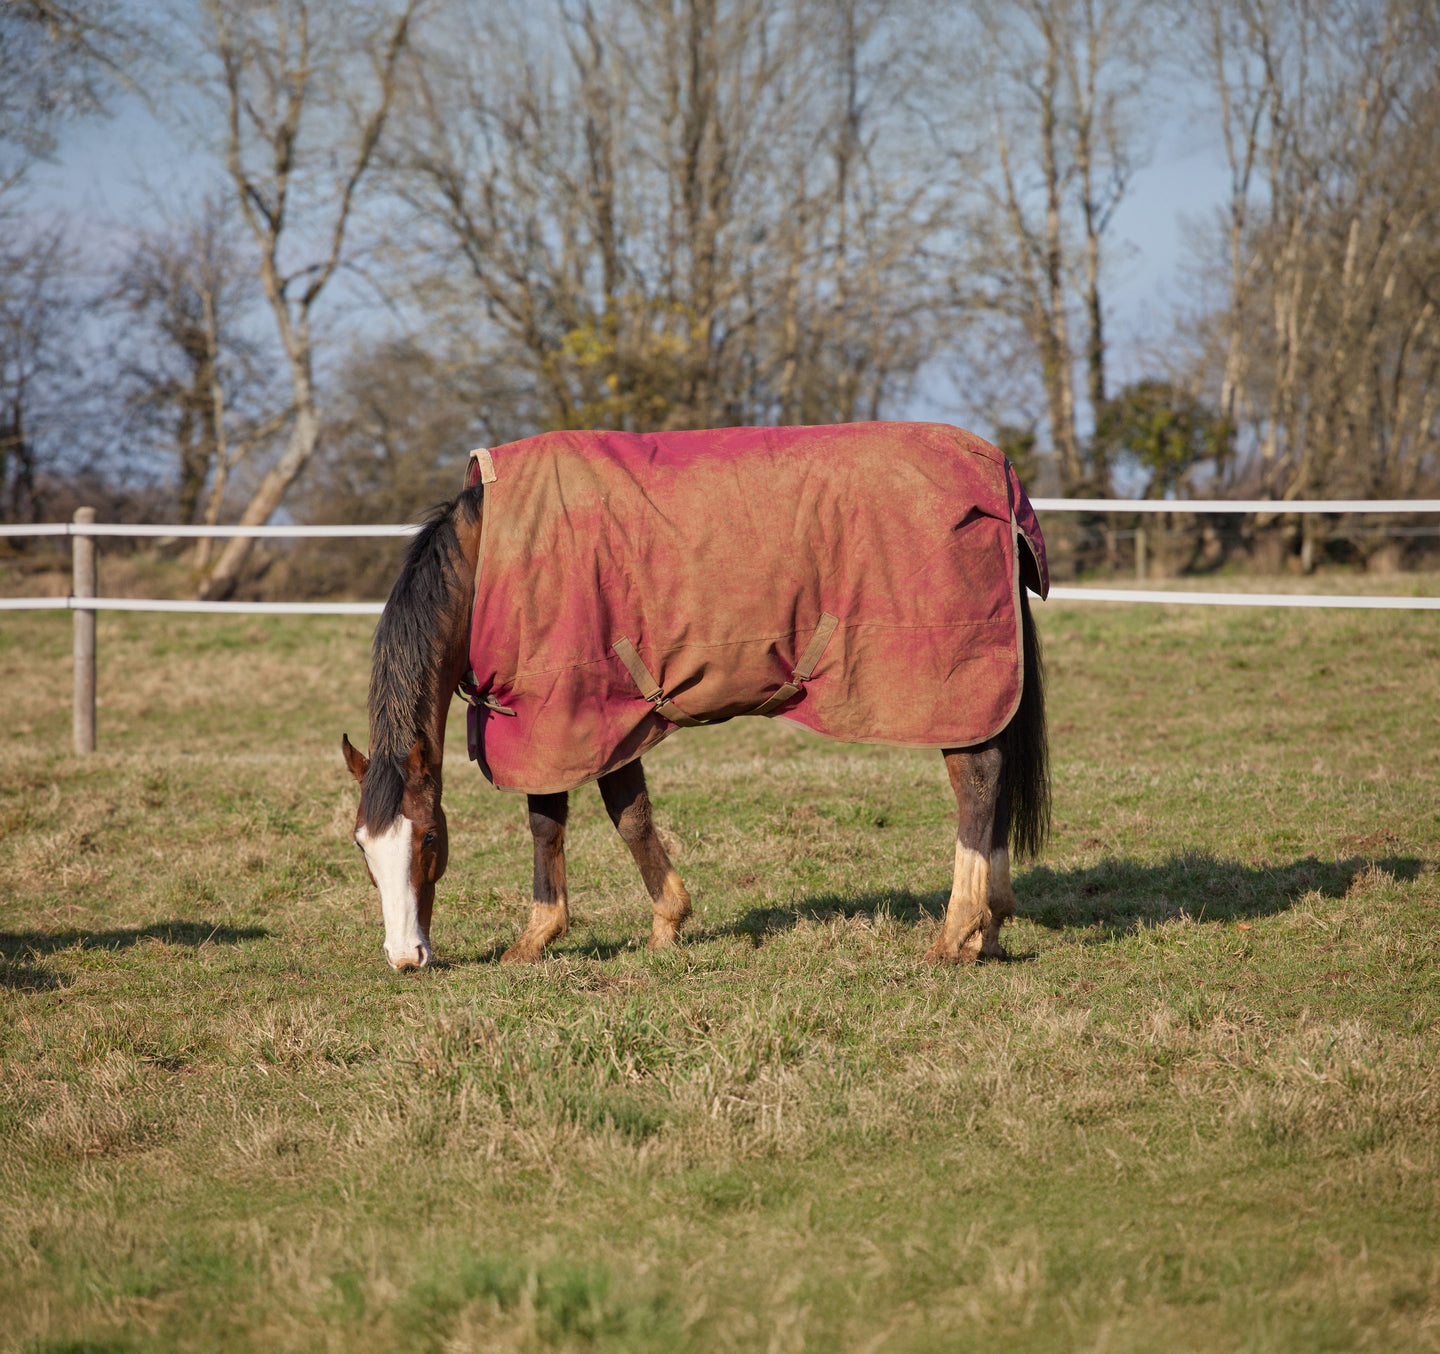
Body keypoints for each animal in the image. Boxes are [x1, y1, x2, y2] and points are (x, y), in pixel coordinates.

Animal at [342, 422, 1049, 971]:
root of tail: (994, 470)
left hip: (954, 687)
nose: (406, 958)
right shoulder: (604, 719)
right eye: (362, 847)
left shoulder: (563, 720)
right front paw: (664, 924)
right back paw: (989, 927)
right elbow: (625, 815)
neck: (493, 557)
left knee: (977, 782)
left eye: (430, 839)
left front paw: (542, 938)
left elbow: (560, 822)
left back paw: (956, 933)